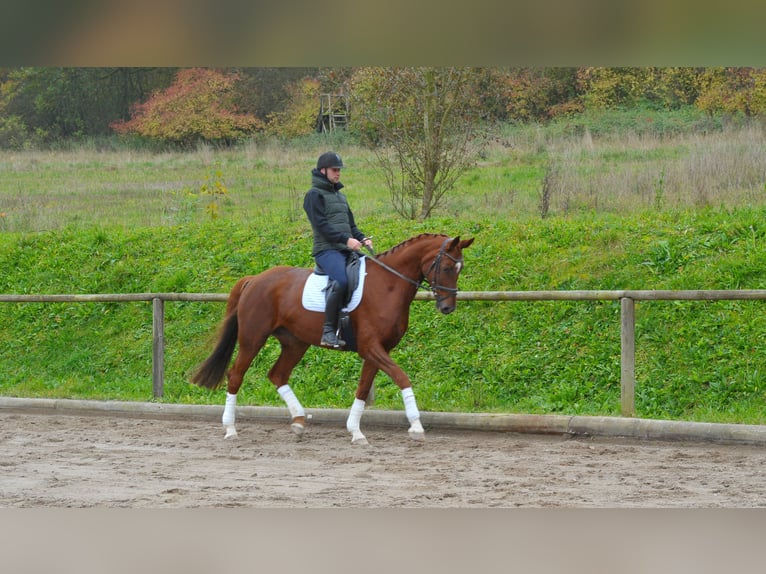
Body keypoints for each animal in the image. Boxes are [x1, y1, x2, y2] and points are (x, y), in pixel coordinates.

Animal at [190, 233, 474, 446]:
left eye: (460, 269)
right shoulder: (372, 347)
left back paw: (299, 421)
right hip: (253, 338)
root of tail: (255, 279)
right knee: (236, 374)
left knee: (277, 375)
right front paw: (416, 426)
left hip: (295, 342)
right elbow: (402, 377)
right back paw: (230, 429)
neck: (388, 285)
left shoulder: (377, 350)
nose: (447, 308)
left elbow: (363, 388)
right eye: (446, 267)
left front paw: (356, 432)